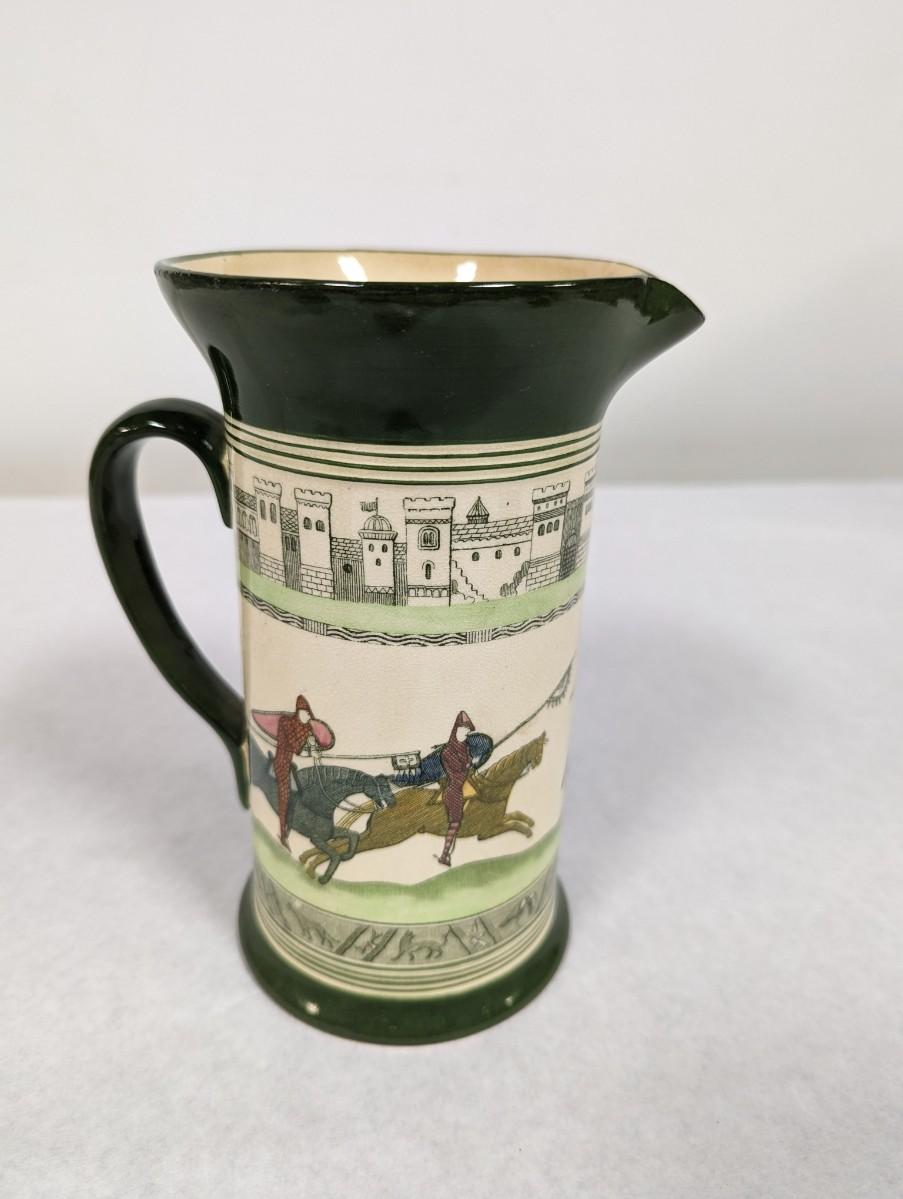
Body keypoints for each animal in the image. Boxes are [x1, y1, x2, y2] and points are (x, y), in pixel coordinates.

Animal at [248, 736, 396, 883]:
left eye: (388, 786)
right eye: (383, 787)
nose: (392, 802)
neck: (319, 802)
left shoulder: (328, 834)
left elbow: (354, 834)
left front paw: (346, 856)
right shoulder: (316, 838)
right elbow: (335, 855)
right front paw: (323, 878)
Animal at [297, 733, 546, 879]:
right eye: (538, 750)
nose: (538, 763)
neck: (491, 790)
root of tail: (383, 807)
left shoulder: (496, 823)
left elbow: (517, 817)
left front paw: (530, 827)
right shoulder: (487, 831)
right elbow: (514, 825)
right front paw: (527, 832)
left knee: (344, 841)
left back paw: (307, 861)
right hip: (385, 837)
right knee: (347, 845)